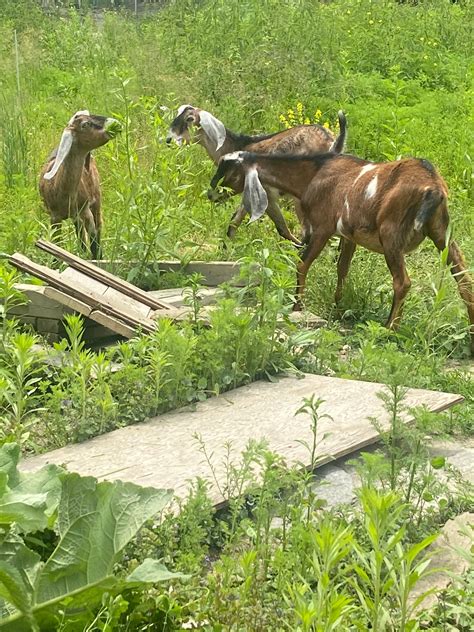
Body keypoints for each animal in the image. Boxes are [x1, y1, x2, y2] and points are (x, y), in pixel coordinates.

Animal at [39, 110, 120, 258]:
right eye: (85, 124)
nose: (114, 122)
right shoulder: (54, 217)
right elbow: (56, 246)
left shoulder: (85, 211)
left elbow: (94, 242)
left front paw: (97, 259)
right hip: (76, 215)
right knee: (80, 232)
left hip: (96, 201)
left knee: (98, 227)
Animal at [167, 103, 348, 244]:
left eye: (190, 119)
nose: (169, 140)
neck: (236, 145)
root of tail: (331, 143)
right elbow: (234, 222)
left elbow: (282, 229)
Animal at [211, 149, 474, 356]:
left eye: (230, 171)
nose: (210, 194)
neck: (314, 174)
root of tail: (433, 186)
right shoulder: (349, 236)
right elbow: (342, 268)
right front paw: (337, 307)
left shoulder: (322, 227)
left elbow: (302, 264)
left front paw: (298, 307)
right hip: (442, 231)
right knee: (464, 279)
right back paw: (470, 335)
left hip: (391, 235)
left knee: (403, 282)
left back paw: (388, 329)